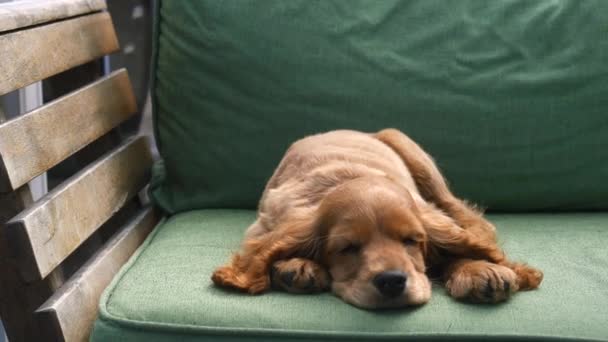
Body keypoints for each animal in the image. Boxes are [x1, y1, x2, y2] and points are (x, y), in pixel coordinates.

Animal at [211, 129, 544, 310]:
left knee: (468, 216)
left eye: (412, 241)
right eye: (347, 248)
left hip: (411, 151)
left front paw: (479, 269)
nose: (392, 282)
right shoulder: (265, 225)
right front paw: (296, 265)